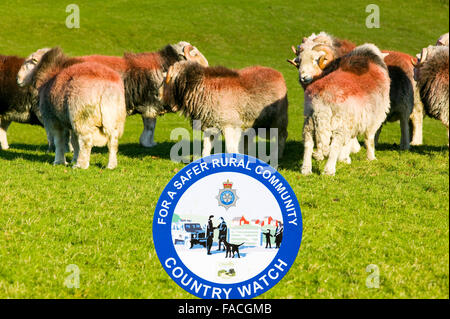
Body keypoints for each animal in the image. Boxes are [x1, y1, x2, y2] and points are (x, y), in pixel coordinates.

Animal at [160, 61, 290, 159]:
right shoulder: (210, 126)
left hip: (280, 118)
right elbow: (206, 149)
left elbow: (230, 149)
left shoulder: (230, 125)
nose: (162, 105)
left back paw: (278, 155)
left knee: (282, 136)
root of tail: (277, 73)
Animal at [298, 43, 390, 176]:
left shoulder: (356, 120)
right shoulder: (375, 117)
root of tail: (321, 101)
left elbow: (350, 140)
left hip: (310, 119)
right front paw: (371, 158)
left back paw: (306, 169)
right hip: (340, 122)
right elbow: (369, 139)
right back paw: (329, 171)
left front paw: (345, 159)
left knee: (308, 143)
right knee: (335, 144)